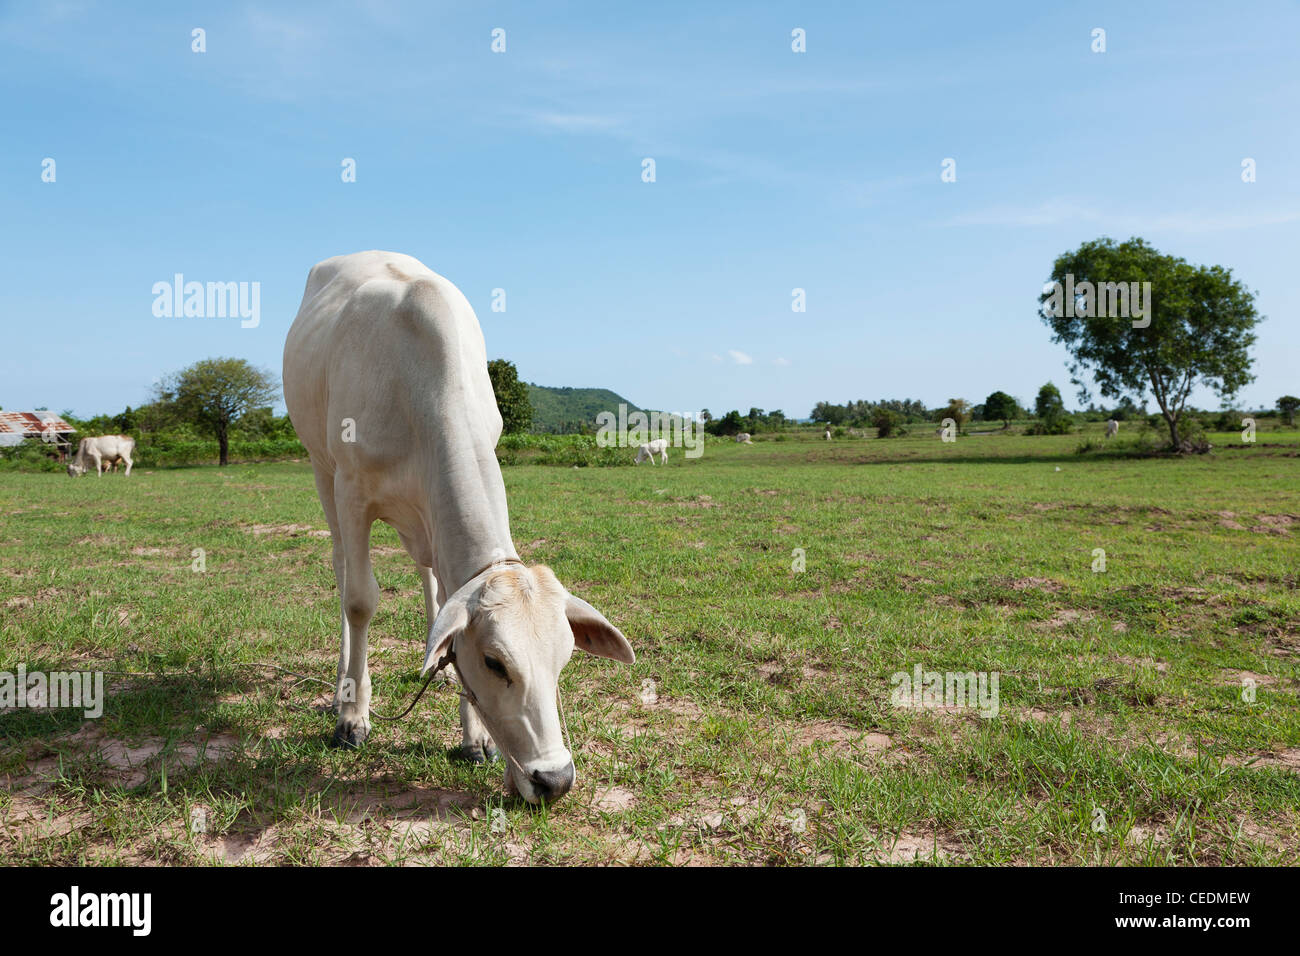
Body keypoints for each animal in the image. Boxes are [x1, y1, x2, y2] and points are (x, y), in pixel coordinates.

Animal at [283, 251, 634, 805]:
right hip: (322, 471)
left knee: (428, 581)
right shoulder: (351, 492)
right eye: (495, 663)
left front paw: (475, 739)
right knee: (342, 570)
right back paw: (344, 689)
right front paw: (353, 719)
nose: (554, 780)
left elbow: (447, 604)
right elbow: (360, 600)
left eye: (563, 661)